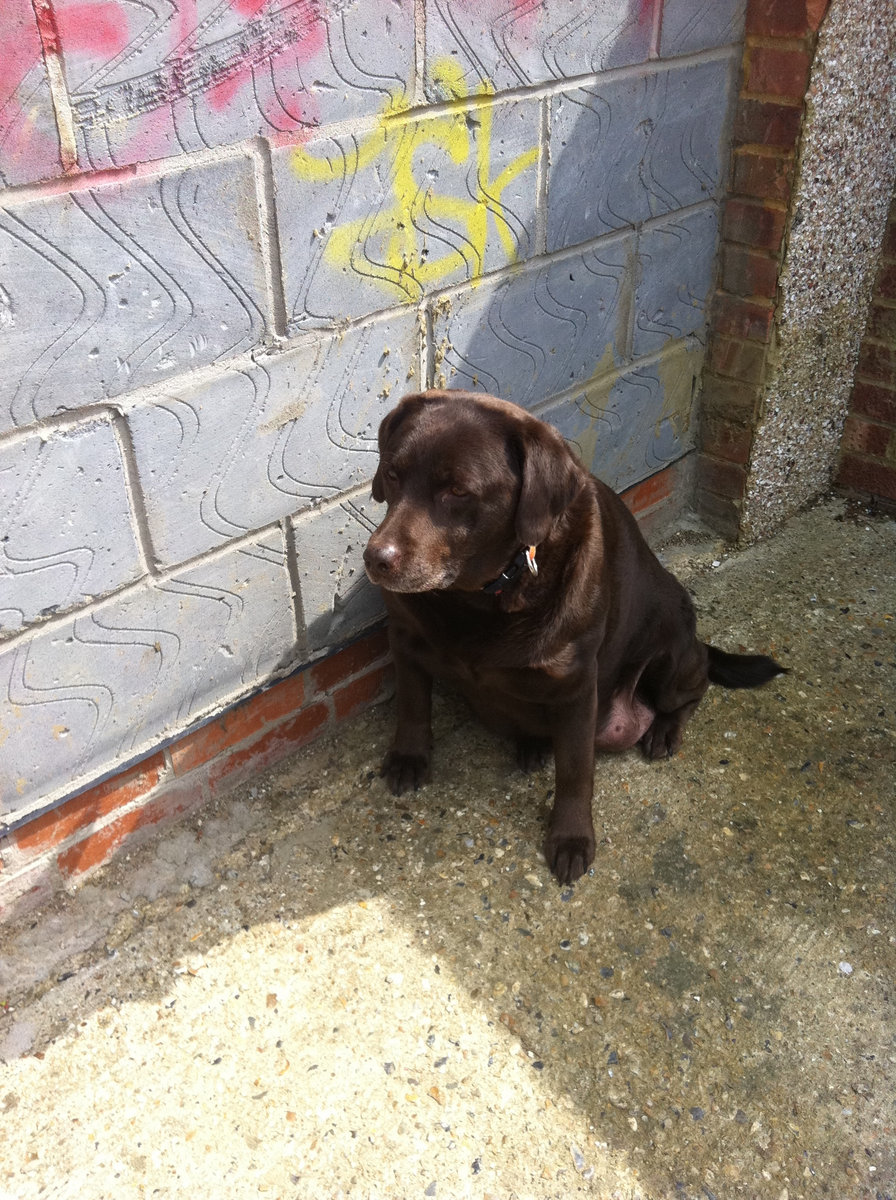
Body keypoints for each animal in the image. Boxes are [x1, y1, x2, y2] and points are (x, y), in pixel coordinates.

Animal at [363, 389, 785, 884]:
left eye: (458, 491)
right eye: (392, 474)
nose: (376, 559)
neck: (480, 598)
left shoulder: (577, 687)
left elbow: (575, 771)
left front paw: (571, 837)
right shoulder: (405, 638)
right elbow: (412, 706)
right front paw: (408, 758)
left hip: (670, 655)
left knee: (693, 685)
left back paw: (664, 728)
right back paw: (531, 745)